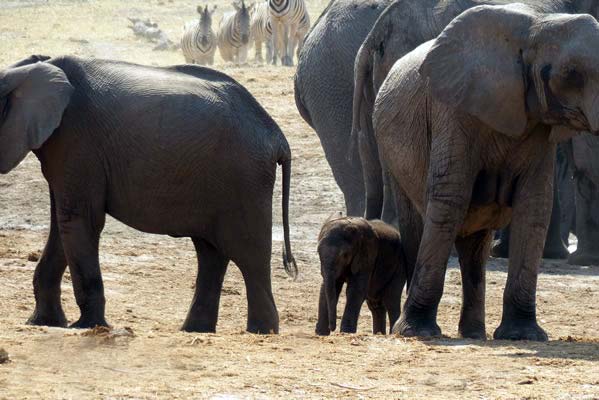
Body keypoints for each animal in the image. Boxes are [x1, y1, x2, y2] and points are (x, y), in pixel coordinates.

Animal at [1, 54, 296, 334]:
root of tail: (278, 137)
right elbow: (62, 224)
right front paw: (42, 323)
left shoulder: (77, 139)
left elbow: (78, 220)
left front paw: (86, 327)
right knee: (210, 253)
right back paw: (194, 329)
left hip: (246, 178)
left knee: (249, 255)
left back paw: (261, 331)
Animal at [372, 3, 599, 340]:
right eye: (571, 74)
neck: (538, 26)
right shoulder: (453, 110)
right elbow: (449, 198)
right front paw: (416, 332)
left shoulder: (539, 126)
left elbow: (535, 206)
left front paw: (522, 335)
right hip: (392, 152)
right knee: (416, 224)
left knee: (475, 248)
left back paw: (474, 334)